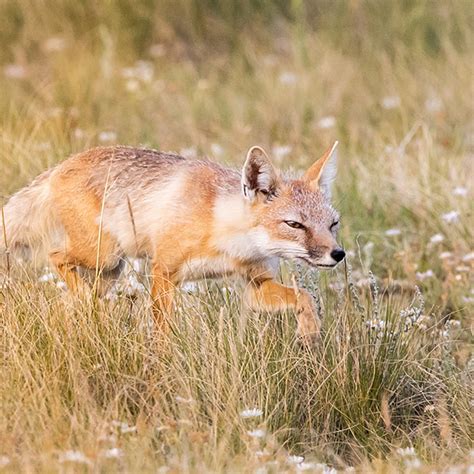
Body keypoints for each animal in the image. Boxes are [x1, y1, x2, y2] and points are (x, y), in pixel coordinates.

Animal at [1, 143, 346, 338]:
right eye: (295, 224)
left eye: (333, 224)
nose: (338, 254)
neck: (224, 234)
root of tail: (59, 166)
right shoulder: (163, 272)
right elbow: (163, 333)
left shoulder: (255, 285)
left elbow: (305, 298)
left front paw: (310, 334)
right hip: (103, 256)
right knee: (56, 256)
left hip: (108, 271)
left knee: (69, 298)